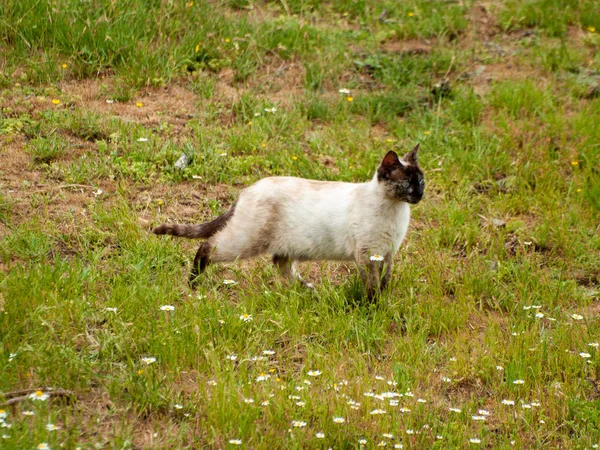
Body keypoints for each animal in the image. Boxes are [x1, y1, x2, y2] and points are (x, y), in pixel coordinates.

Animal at [152, 145, 424, 298]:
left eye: (421, 181)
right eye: (406, 184)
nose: (420, 194)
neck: (395, 210)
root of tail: (246, 191)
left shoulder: (387, 254)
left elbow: (385, 281)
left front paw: (383, 300)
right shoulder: (368, 255)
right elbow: (372, 287)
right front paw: (374, 306)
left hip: (288, 246)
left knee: (281, 265)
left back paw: (311, 290)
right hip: (244, 242)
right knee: (206, 247)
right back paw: (193, 285)